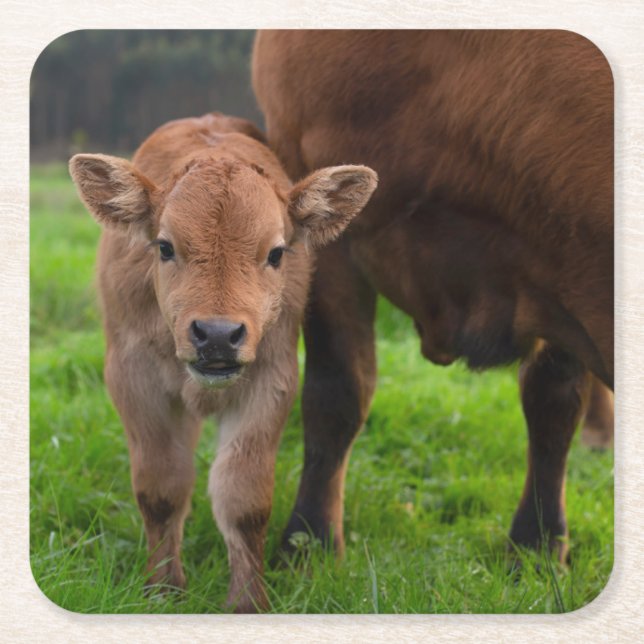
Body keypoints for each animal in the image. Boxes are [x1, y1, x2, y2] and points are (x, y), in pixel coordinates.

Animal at [68, 112, 377, 612]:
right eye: (165, 247)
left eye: (276, 253)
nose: (216, 334)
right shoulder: (133, 381)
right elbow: (161, 488)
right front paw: (163, 591)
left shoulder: (271, 382)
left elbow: (244, 500)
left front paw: (248, 603)